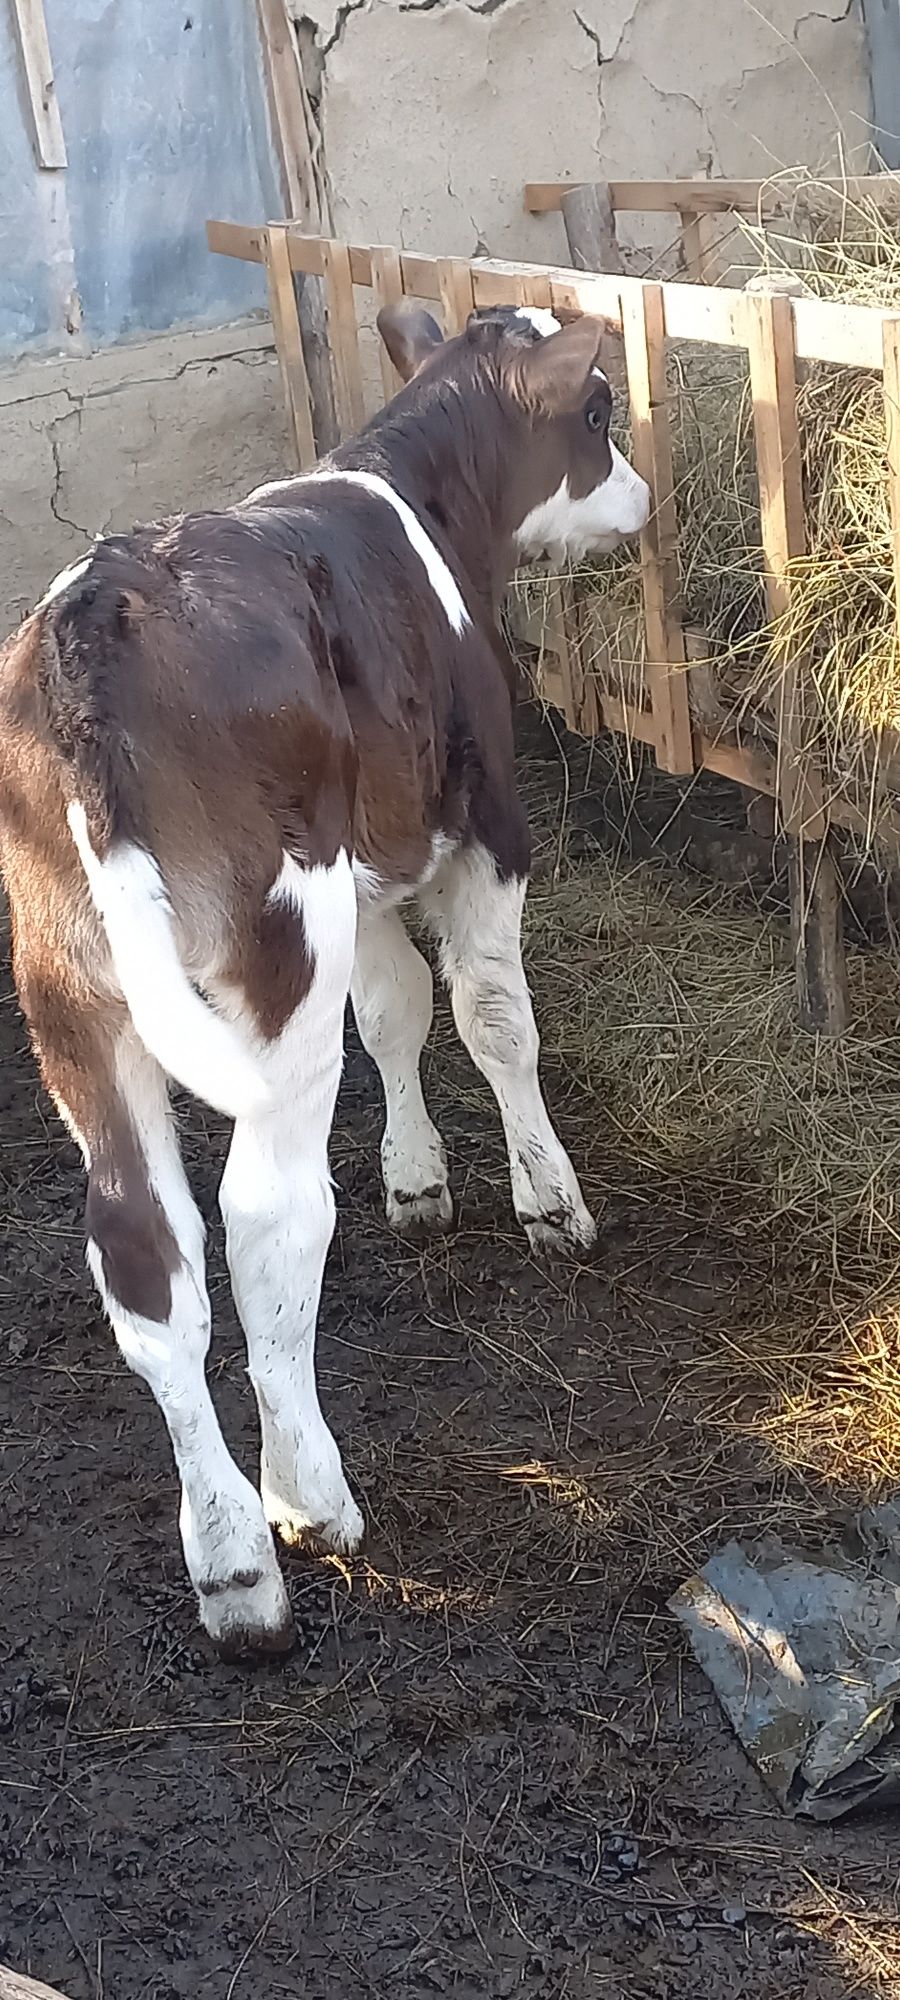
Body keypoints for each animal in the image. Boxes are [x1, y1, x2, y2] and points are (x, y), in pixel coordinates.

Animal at [0, 304, 648, 1656]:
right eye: (598, 410)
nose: (642, 496)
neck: (420, 497)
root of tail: (90, 627)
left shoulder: (371, 873)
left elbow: (397, 1009)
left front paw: (417, 1179)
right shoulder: (486, 829)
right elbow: (492, 1018)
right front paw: (548, 1198)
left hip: (68, 987)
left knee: (144, 1247)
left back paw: (231, 1561)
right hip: (277, 938)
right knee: (265, 1214)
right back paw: (307, 1498)